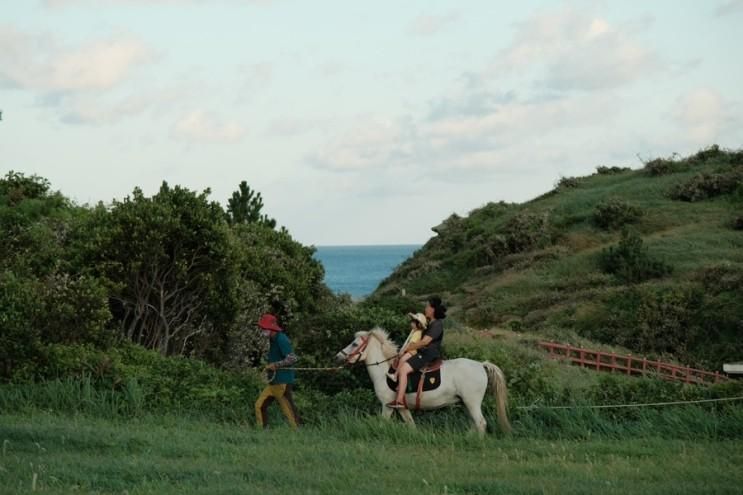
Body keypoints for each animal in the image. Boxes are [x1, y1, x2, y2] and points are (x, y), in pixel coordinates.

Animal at [338, 330, 512, 438]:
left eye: (354, 344)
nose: (338, 356)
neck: (384, 371)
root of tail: (481, 365)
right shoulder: (402, 407)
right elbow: (411, 425)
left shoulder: (387, 405)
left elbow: (382, 424)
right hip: (467, 403)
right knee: (475, 424)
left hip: (472, 402)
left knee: (481, 423)